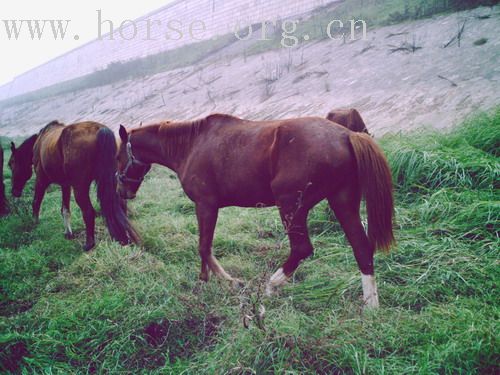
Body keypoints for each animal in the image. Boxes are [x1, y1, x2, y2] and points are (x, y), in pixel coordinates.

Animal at [7, 121, 140, 250]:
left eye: (11, 163)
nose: (14, 191)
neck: (39, 143)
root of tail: (100, 129)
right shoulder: (65, 185)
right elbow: (65, 209)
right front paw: (68, 233)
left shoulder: (41, 180)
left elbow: (36, 203)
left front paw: (35, 224)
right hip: (114, 182)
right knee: (121, 205)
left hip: (80, 188)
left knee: (88, 212)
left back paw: (89, 244)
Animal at [115, 114, 392, 308]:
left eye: (118, 157)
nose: (122, 191)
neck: (191, 145)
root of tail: (346, 135)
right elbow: (204, 247)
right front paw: (207, 281)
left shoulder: (205, 205)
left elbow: (204, 247)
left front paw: (225, 282)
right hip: (342, 202)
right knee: (361, 248)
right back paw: (371, 307)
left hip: (291, 207)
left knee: (302, 249)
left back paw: (271, 286)